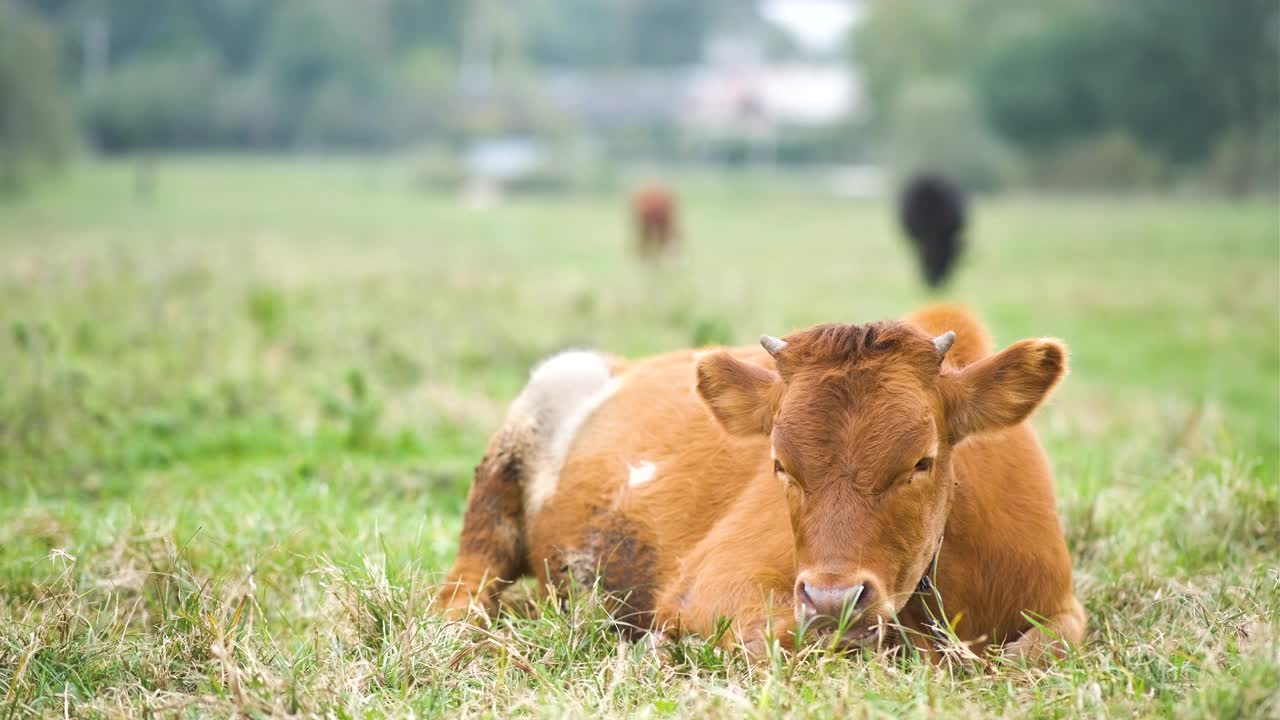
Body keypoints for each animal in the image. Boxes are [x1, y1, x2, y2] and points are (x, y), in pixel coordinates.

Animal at [437, 302, 1080, 661]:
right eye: (780, 464)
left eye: (921, 461)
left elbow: (1037, 649)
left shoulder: (1060, 606)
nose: (833, 601)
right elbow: (773, 637)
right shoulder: (713, 586)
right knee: (469, 577)